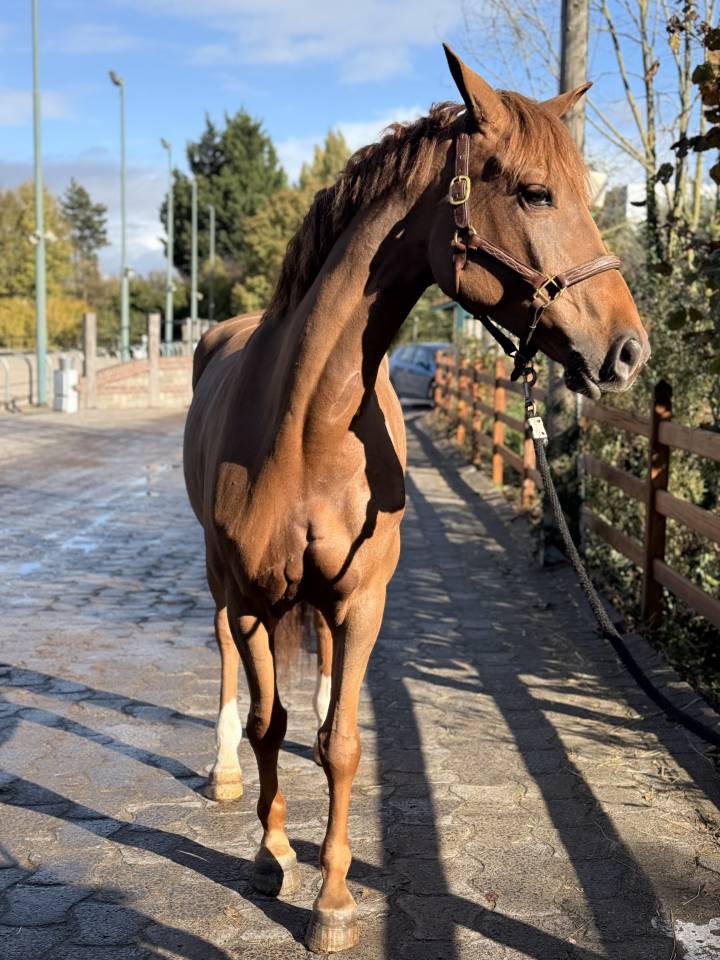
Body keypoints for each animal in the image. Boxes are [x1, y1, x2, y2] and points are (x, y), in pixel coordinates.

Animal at [183, 44, 650, 953]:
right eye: (535, 192)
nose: (628, 350)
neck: (307, 425)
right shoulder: (253, 597)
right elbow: (269, 724)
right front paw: (272, 854)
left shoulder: (361, 599)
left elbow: (342, 743)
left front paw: (333, 897)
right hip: (223, 586)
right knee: (229, 668)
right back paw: (224, 776)